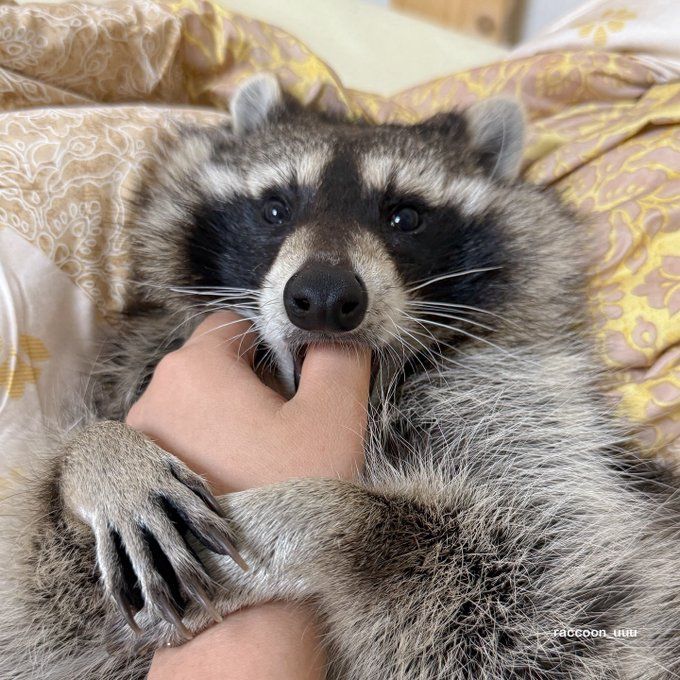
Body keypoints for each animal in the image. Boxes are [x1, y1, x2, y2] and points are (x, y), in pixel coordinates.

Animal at [1, 73, 680, 680]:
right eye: (275, 208)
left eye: (405, 217)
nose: (323, 299)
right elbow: (47, 607)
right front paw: (98, 455)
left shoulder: (521, 405)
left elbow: (527, 595)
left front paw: (319, 515)